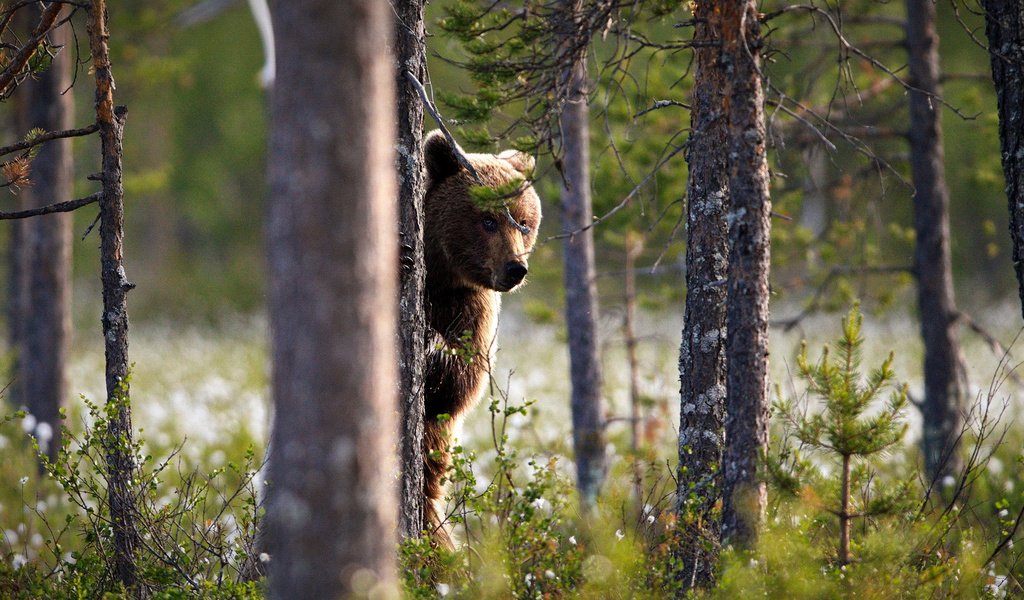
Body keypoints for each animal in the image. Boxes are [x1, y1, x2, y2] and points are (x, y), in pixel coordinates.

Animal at [419, 131, 544, 544]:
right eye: (487, 220)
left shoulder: (474, 310)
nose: (515, 268)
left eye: (524, 222)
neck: (440, 277)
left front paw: (436, 347)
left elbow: (461, 383)